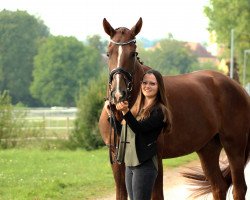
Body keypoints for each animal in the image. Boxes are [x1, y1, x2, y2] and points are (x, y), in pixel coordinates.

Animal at [98, 18, 250, 199]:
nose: (118, 94)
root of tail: (238, 87)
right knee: (218, 187)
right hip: (208, 149)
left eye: (133, 53)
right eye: (108, 53)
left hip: (234, 146)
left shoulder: (156, 157)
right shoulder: (117, 159)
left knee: (239, 188)